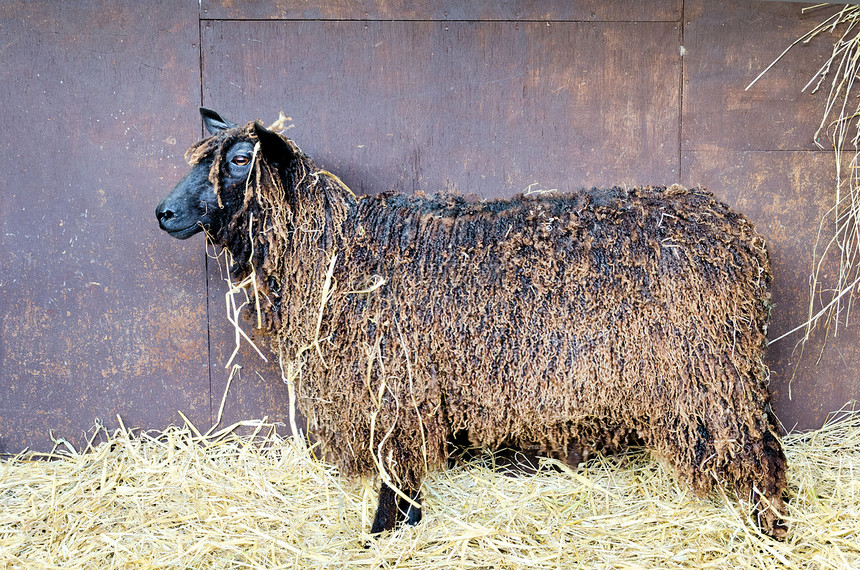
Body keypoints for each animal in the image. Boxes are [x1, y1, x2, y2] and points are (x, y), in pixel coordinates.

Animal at [156, 106, 792, 536]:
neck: (342, 251)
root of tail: (741, 237)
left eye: (240, 161)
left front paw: (383, 531)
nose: (163, 212)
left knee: (761, 447)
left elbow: (393, 463)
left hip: (709, 369)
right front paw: (406, 523)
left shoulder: (393, 382)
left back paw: (771, 531)